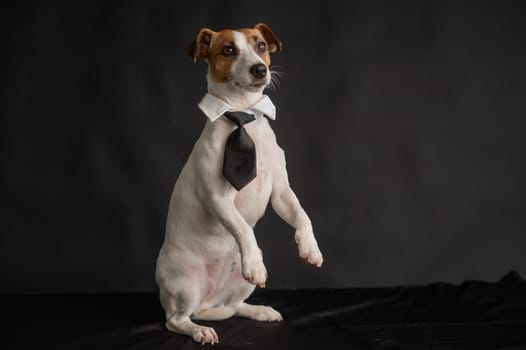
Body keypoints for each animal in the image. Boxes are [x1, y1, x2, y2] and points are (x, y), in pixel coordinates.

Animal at [155, 22, 324, 344]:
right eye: (228, 50)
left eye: (261, 46)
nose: (260, 69)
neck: (244, 114)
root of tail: (207, 303)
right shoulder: (218, 198)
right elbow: (245, 229)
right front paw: (255, 263)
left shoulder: (281, 192)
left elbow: (302, 215)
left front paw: (310, 247)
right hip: (187, 284)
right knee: (175, 320)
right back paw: (199, 330)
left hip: (239, 284)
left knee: (234, 305)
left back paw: (259, 311)